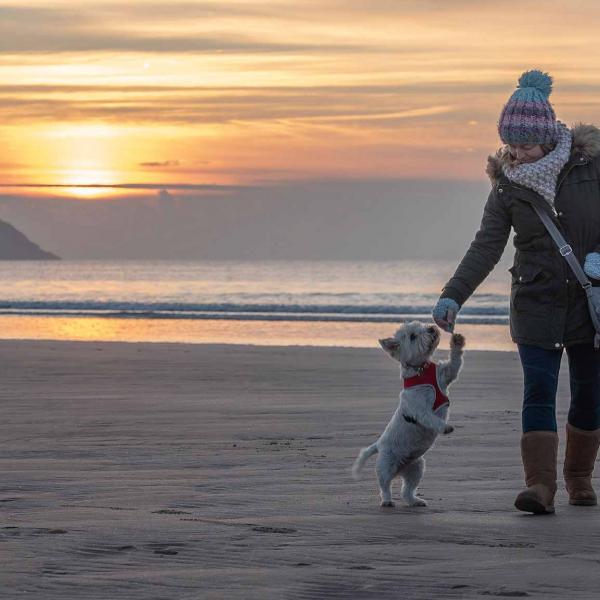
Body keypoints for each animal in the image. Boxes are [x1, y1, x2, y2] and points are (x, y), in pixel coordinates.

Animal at [352, 322, 464, 508]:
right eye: (412, 336)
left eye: (423, 325)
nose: (431, 328)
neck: (420, 370)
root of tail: (378, 445)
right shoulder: (419, 408)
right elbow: (431, 418)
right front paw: (444, 427)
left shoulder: (445, 374)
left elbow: (454, 363)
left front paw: (457, 341)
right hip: (387, 465)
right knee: (385, 485)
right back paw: (387, 501)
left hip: (417, 467)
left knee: (407, 490)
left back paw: (415, 501)